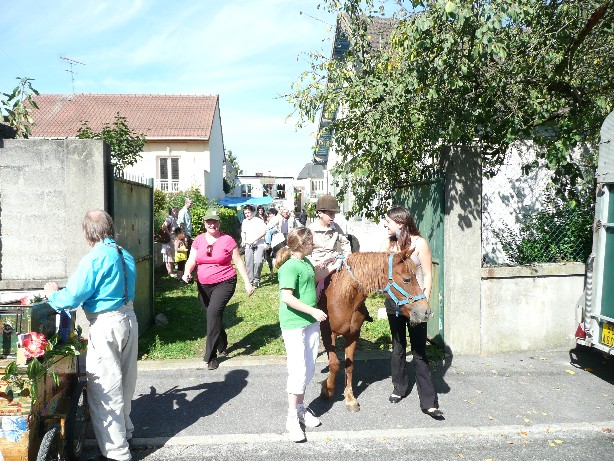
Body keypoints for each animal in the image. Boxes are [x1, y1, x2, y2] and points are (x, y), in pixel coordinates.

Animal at [318, 248, 431, 412]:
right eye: (407, 279)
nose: (426, 311)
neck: (344, 295)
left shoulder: (353, 334)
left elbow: (349, 365)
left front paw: (349, 398)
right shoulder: (328, 334)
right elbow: (334, 364)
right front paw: (327, 390)